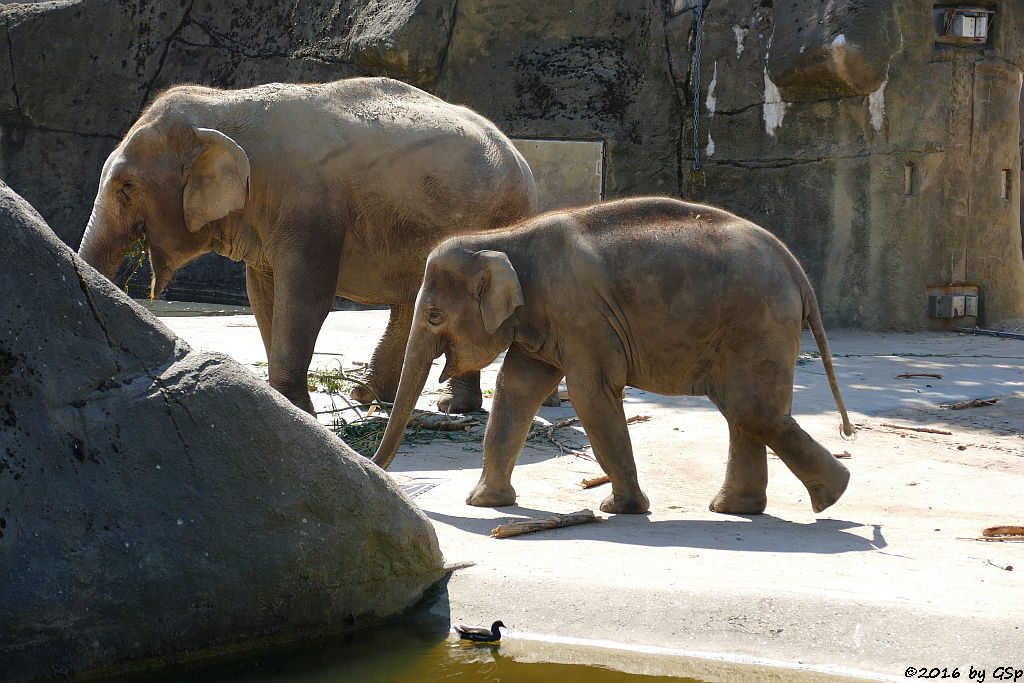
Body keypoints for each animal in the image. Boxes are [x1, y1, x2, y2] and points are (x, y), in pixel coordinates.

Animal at [79, 77, 536, 413]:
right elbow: (262, 294)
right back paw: (369, 396)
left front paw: (297, 410)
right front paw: (283, 403)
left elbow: (305, 295)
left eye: (126, 187)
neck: (223, 106)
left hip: (499, 217)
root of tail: (522, 157)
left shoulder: (310, 207)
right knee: (412, 299)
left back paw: (450, 409)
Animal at [372, 196, 851, 511]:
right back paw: (737, 509)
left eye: (434, 315)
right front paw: (485, 504)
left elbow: (591, 395)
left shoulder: (580, 314)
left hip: (758, 322)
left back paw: (833, 495)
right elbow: (516, 390)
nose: (380, 470)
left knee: (752, 410)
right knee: (744, 412)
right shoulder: (545, 323)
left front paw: (621, 508)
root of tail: (796, 269)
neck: (503, 237)